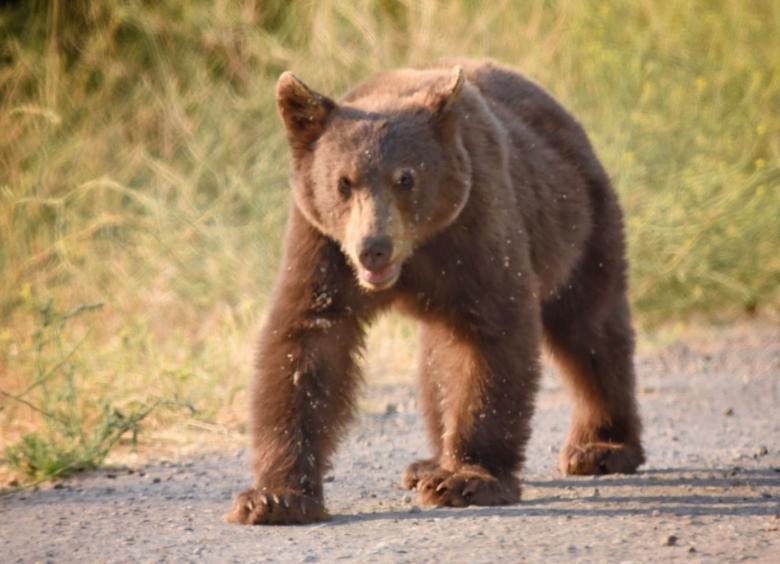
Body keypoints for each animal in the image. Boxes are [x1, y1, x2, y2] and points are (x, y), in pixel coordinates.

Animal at [225, 59, 644, 528]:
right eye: (343, 182)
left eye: (405, 177)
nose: (373, 247)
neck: (416, 250)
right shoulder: (324, 247)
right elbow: (307, 343)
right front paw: (274, 497)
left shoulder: (476, 228)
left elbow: (493, 335)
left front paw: (466, 480)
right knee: (439, 360)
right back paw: (427, 463)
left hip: (580, 222)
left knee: (590, 330)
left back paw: (601, 447)